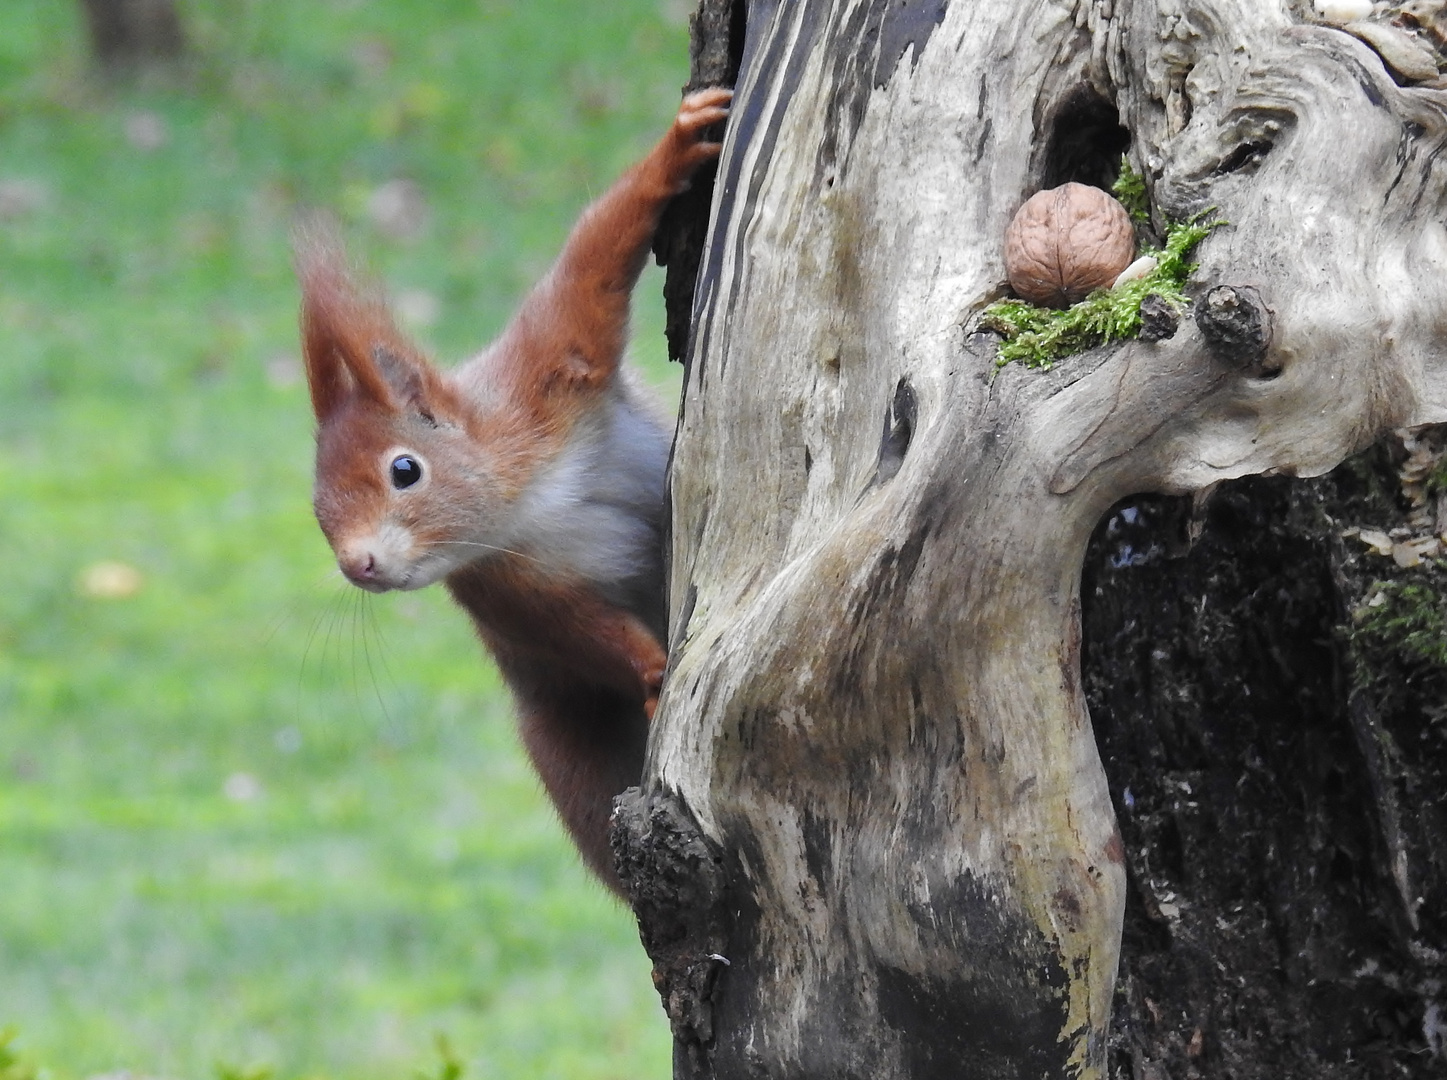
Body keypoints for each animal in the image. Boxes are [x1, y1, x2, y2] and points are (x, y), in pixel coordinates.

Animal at [295, 88, 729, 891]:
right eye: (317, 514)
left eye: (405, 469)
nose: (357, 566)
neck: (519, 508)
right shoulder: (506, 591)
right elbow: (581, 633)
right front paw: (654, 669)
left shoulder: (547, 371)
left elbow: (590, 267)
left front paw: (678, 145)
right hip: (565, 745)